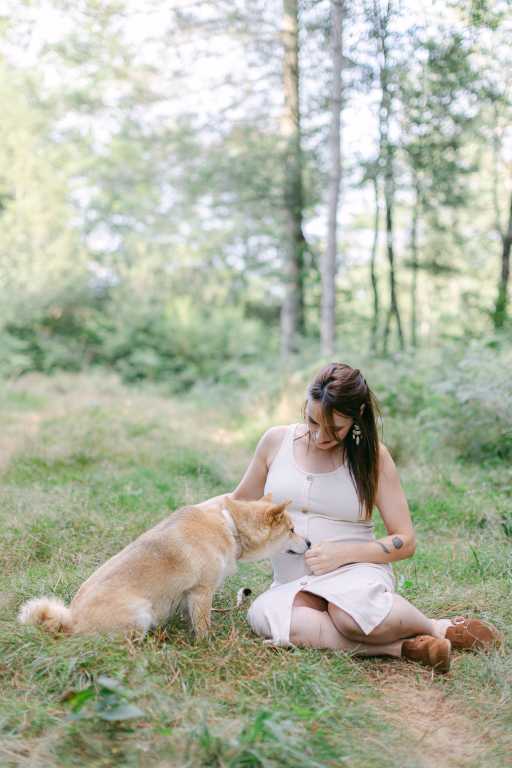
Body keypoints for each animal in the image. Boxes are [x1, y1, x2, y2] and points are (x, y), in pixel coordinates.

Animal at [18, 496, 308, 640]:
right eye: (292, 530)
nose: (309, 542)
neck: (230, 525)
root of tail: (70, 621)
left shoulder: (189, 595)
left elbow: (190, 617)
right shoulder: (202, 591)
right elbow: (203, 625)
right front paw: (206, 643)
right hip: (140, 614)